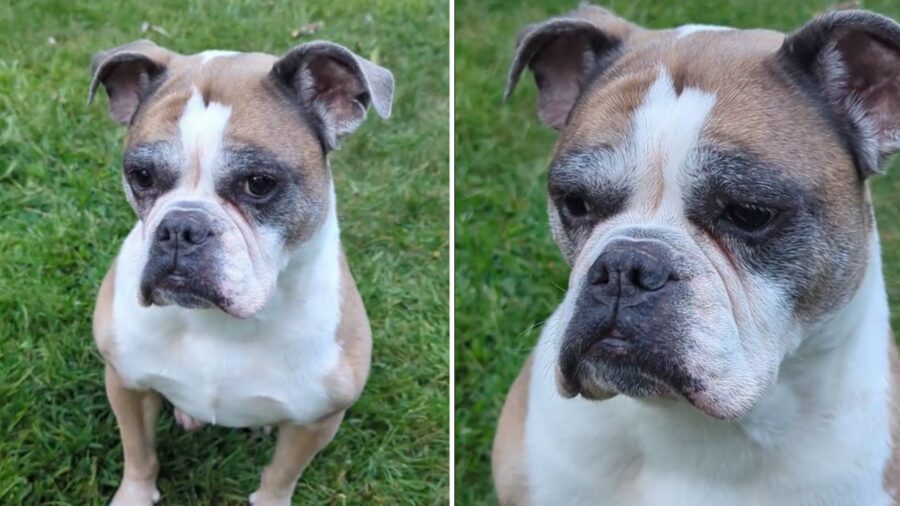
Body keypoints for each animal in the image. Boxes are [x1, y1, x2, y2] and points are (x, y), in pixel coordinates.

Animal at [89, 39, 394, 506]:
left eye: (259, 183)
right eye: (141, 176)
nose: (180, 228)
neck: (218, 323)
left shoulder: (317, 422)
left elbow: (280, 476)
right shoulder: (126, 384)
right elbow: (139, 454)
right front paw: (134, 496)